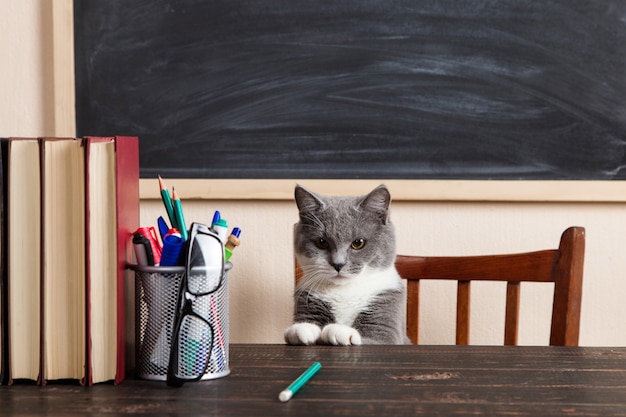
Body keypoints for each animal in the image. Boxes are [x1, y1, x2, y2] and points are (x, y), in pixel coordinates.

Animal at [282, 185, 410, 344]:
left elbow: (373, 340)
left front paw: (339, 330)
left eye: (358, 243)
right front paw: (302, 328)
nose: (338, 264)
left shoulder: (386, 316)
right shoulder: (307, 298)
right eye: (321, 242)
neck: (345, 292)